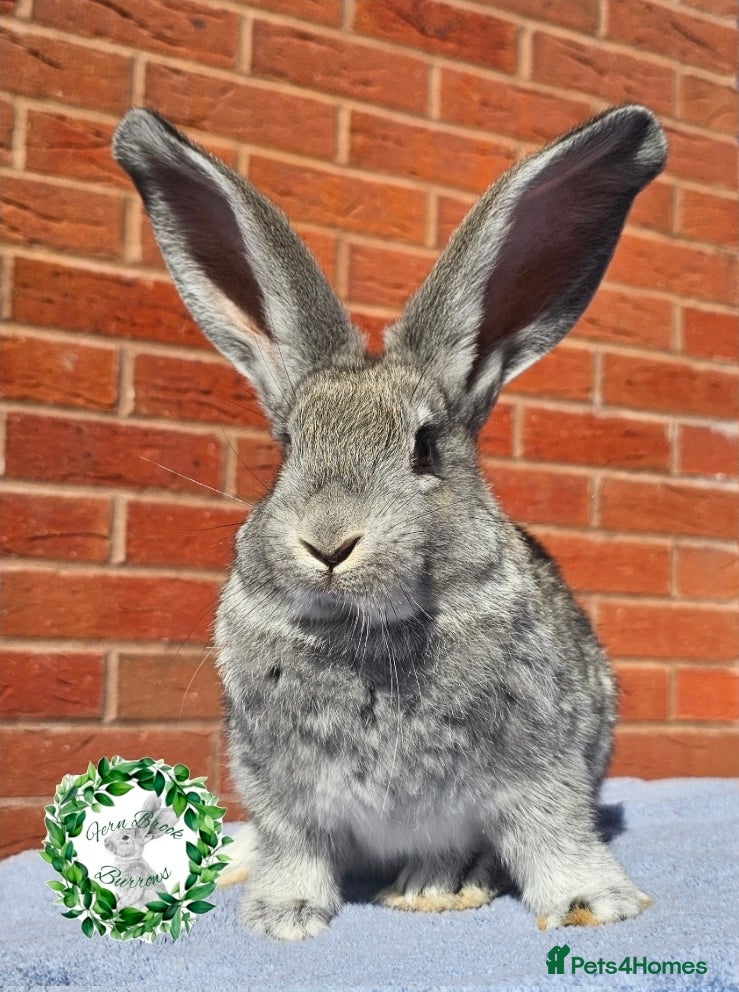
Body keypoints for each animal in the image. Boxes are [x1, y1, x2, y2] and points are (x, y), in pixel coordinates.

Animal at [112, 104, 667, 941]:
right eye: (287, 447)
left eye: (425, 446)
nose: (327, 543)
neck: (362, 631)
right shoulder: (280, 790)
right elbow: (292, 846)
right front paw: (280, 916)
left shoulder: (539, 764)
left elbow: (550, 833)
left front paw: (594, 906)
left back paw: (436, 886)